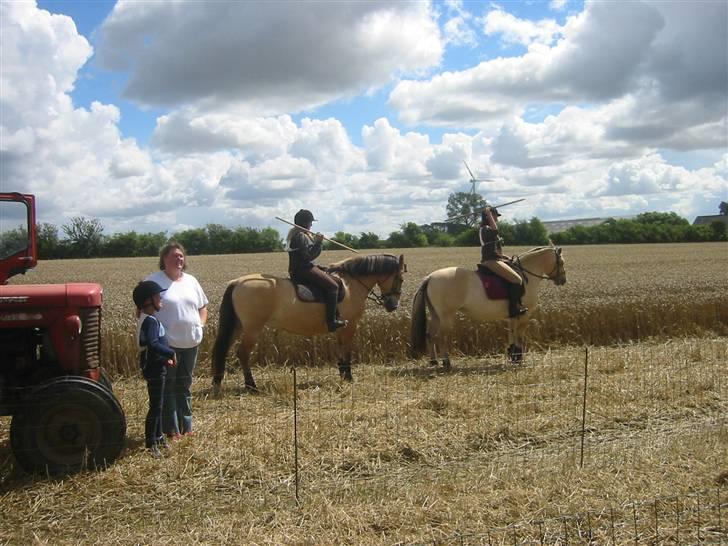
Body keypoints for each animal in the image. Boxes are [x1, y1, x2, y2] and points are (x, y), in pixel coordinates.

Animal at [212, 253, 404, 388]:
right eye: (400, 278)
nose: (393, 305)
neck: (350, 285)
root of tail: (237, 282)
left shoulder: (342, 328)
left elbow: (341, 349)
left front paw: (343, 374)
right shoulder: (350, 326)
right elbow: (347, 350)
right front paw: (348, 376)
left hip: (238, 326)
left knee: (224, 350)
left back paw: (218, 381)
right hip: (253, 328)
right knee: (243, 353)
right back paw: (251, 386)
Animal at [412, 243, 564, 366]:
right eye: (561, 262)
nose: (563, 280)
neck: (526, 275)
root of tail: (430, 277)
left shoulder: (513, 315)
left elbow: (512, 332)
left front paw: (513, 354)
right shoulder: (524, 315)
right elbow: (519, 334)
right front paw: (518, 357)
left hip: (435, 315)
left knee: (430, 335)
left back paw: (433, 361)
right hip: (446, 316)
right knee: (441, 336)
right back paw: (446, 362)